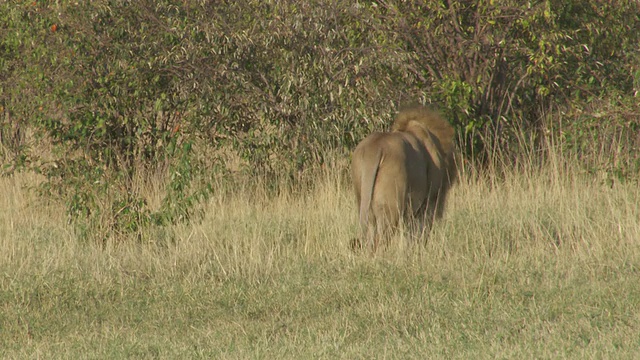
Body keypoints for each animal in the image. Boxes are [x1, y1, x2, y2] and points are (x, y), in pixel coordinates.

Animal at [350, 104, 456, 250]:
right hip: (392, 207)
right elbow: (419, 234)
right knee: (380, 240)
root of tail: (375, 148)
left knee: (370, 239)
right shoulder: (428, 203)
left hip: (365, 203)